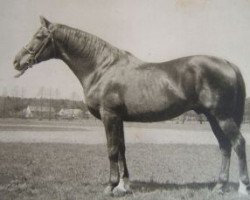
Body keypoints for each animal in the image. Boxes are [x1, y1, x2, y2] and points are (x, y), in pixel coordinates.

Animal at [14, 16, 250, 196]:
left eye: (39, 37)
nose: (16, 61)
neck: (102, 68)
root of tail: (228, 64)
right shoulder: (118, 118)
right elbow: (122, 149)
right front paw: (124, 186)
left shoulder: (109, 116)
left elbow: (111, 149)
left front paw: (110, 186)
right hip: (212, 117)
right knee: (225, 146)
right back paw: (219, 187)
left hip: (222, 116)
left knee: (238, 143)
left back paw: (242, 188)